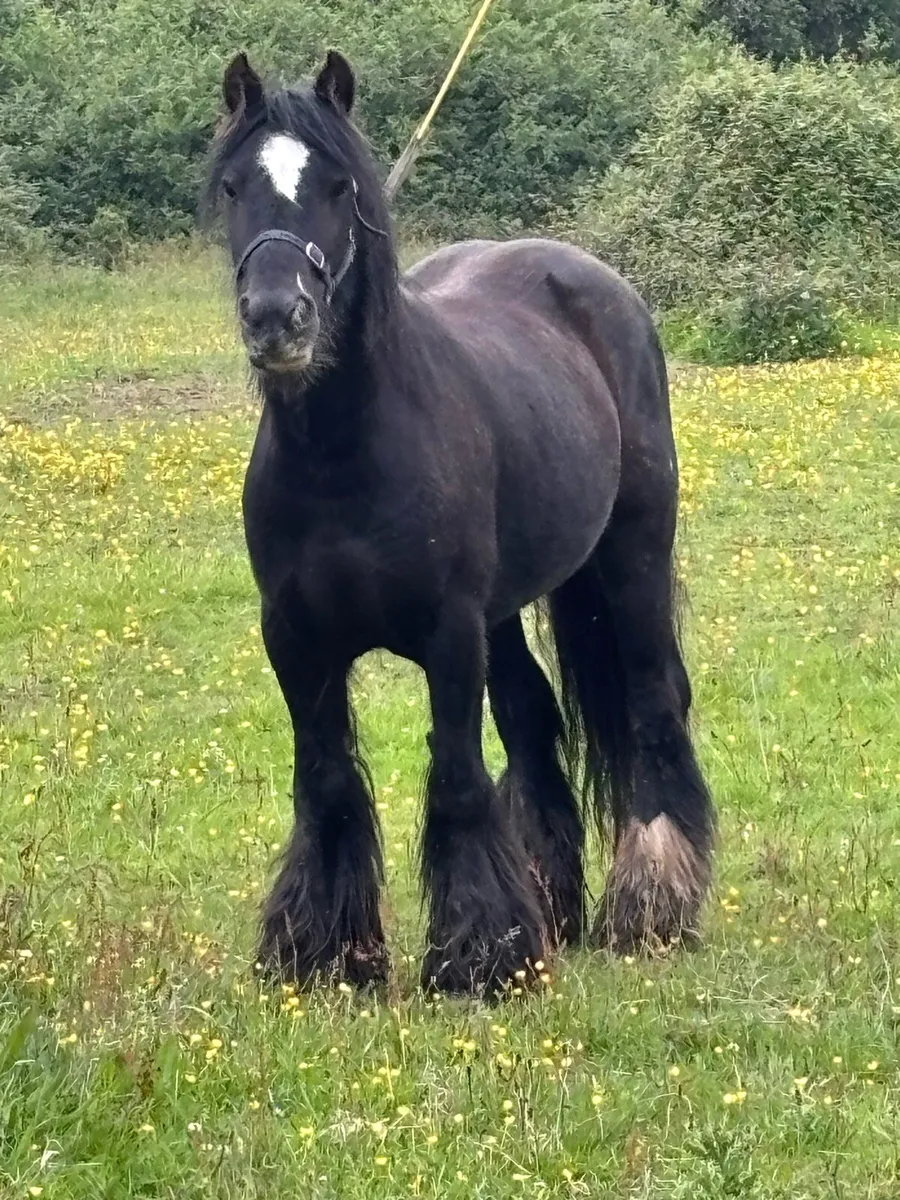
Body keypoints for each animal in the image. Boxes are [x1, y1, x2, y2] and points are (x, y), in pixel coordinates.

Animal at [204, 49, 715, 997]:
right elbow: (326, 785)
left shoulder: (447, 635)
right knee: (534, 717)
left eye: (338, 185)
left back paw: (651, 907)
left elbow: (457, 779)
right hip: (506, 611)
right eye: (232, 187)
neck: (346, 456)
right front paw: (325, 953)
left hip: (632, 553)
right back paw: (553, 904)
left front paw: (480, 957)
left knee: (654, 704)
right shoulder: (294, 640)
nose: (277, 318)